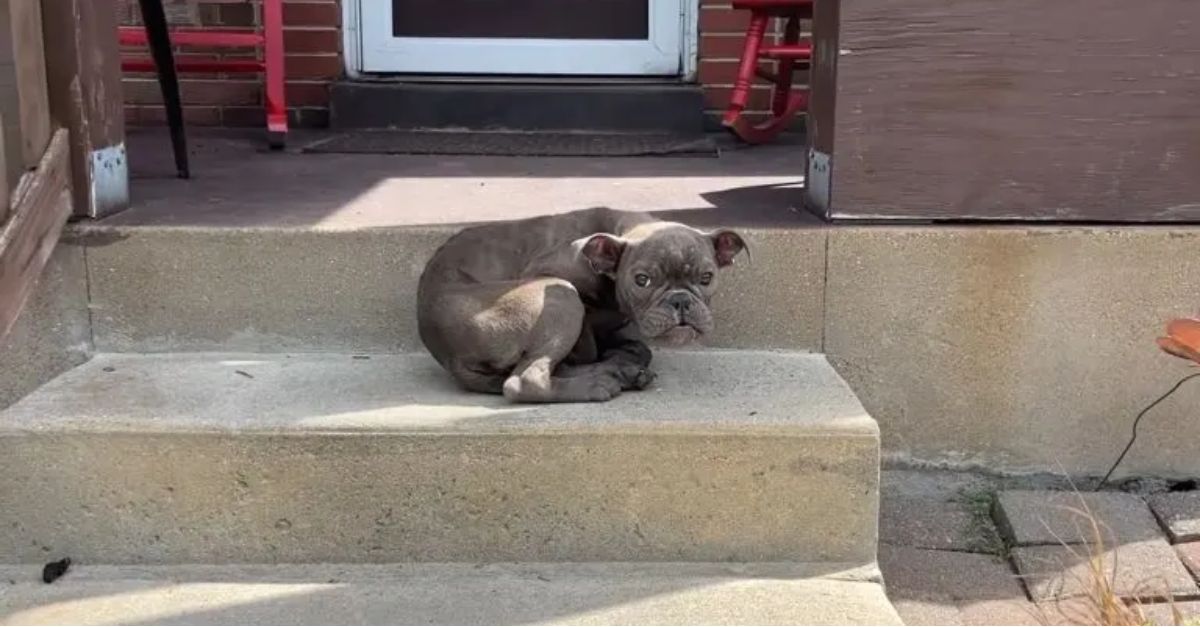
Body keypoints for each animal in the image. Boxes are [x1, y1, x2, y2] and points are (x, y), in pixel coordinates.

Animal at [417, 207, 744, 403]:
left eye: (706, 277)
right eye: (642, 280)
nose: (680, 300)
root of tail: (447, 354)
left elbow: (638, 347)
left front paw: (623, 355)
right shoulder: (546, 272)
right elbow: (589, 346)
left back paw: (619, 372)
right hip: (560, 296)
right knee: (524, 380)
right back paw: (598, 383)